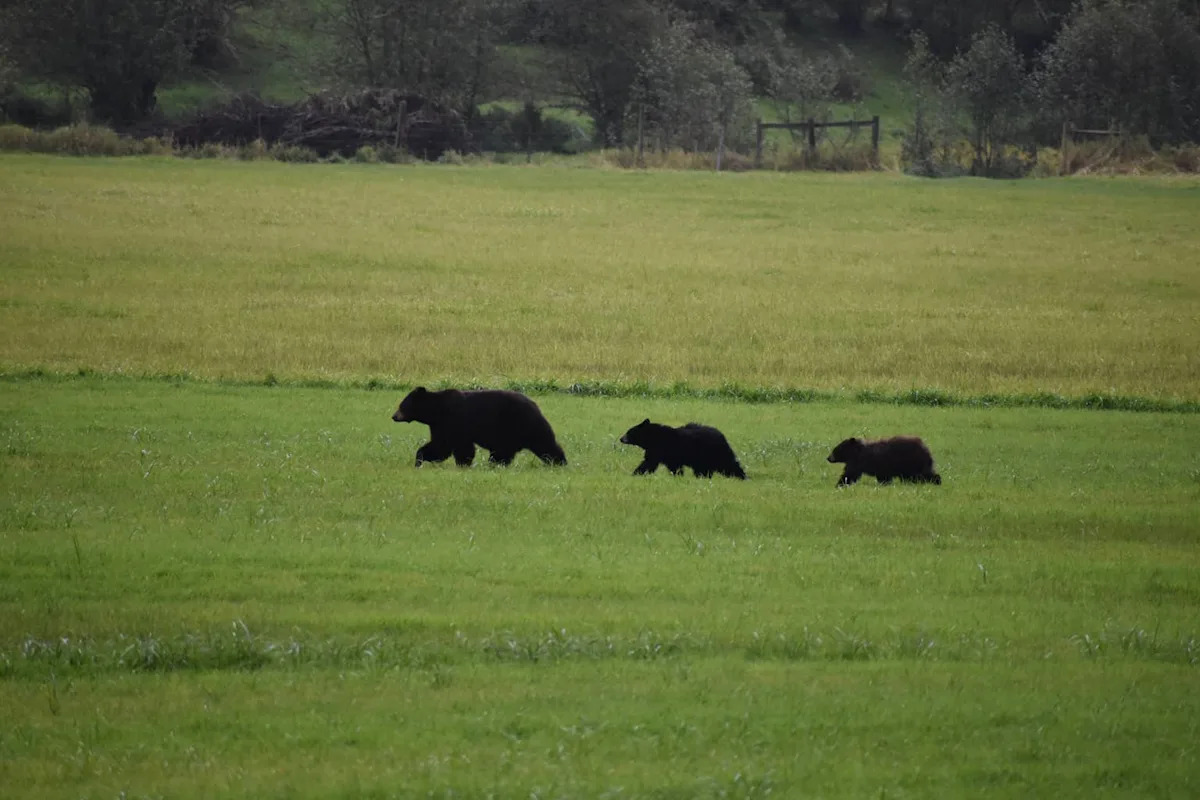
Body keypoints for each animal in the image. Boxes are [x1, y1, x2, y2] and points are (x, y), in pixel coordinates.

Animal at [391, 387, 567, 468]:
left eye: (401, 406)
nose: (394, 416)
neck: (436, 411)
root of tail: (535, 405)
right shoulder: (440, 425)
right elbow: (441, 446)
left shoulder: (452, 421)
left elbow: (449, 446)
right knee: (504, 452)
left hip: (520, 424)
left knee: (545, 444)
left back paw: (560, 462)